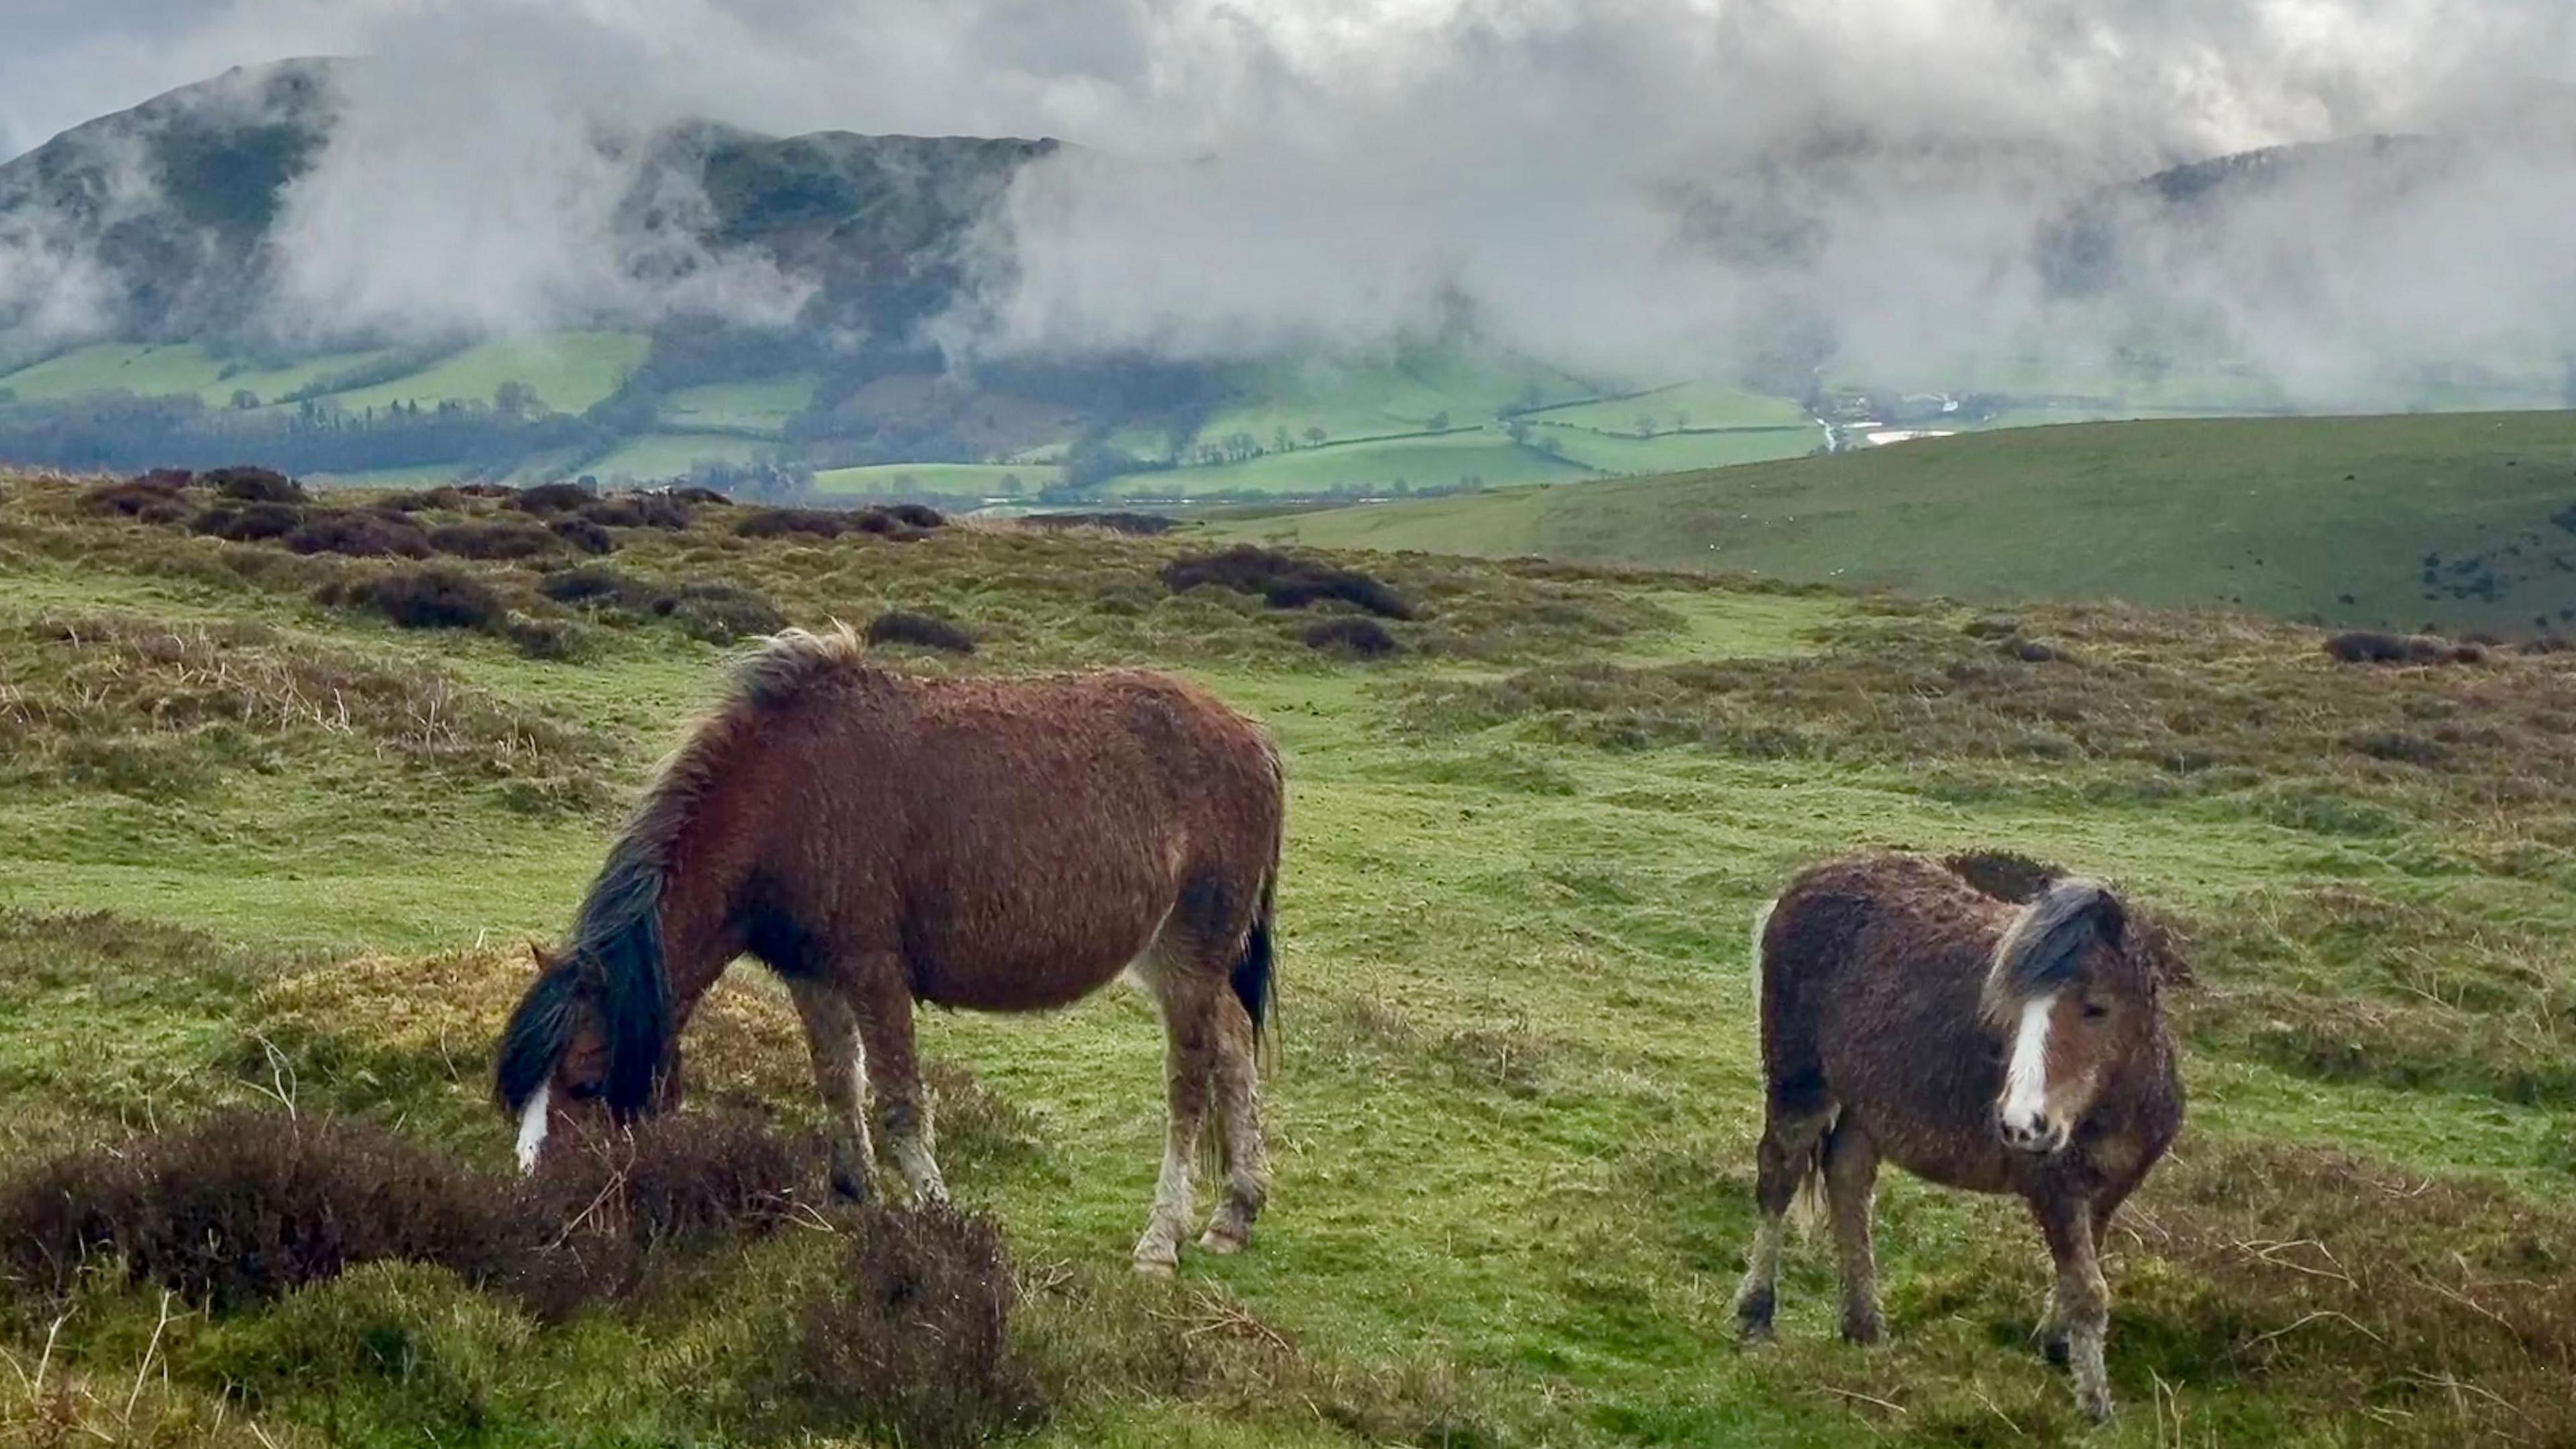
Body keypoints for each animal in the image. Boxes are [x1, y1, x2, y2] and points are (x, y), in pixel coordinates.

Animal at [492, 626, 1288, 1268]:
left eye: (585, 1082)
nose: (536, 1211)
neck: (785, 798)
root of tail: (1252, 738)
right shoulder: (812, 975)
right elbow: (839, 1084)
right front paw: (855, 1196)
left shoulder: (875, 972)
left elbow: (901, 1104)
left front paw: (943, 1221)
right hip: (1179, 960)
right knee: (1233, 1052)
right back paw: (1234, 1215)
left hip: (1189, 954)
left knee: (1190, 1082)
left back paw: (1161, 1239)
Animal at [1721, 851, 2184, 1413]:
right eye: (2010, 1009)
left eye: (2097, 1007)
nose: (2022, 1124)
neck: (2113, 1104)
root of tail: (1801, 884)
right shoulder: (2054, 1188)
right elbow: (2088, 1291)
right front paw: (2096, 1407)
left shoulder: (2111, 1187)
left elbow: (2080, 1274)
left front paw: (2058, 1350)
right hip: (1800, 1083)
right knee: (1779, 1178)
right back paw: (1757, 1315)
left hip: (1866, 1102)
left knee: (1847, 1180)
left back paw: (1864, 1326)